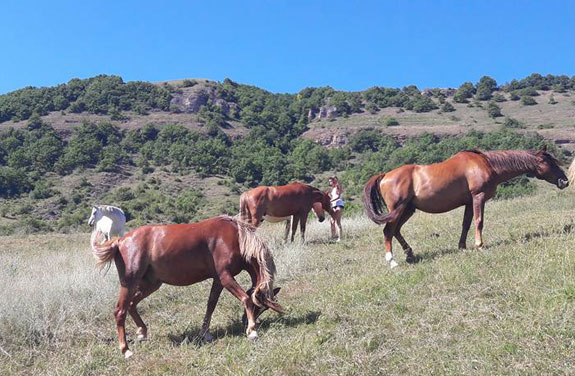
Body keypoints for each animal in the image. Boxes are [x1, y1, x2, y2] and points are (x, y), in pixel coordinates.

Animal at [89, 214, 284, 358]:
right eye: (260, 307)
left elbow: (211, 305)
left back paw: (142, 332)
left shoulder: (218, 280)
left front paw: (205, 333)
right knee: (120, 311)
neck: (234, 237)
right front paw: (252, 331)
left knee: (131, 304)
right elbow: (245, 298)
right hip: (130, 283)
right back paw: (126, 350)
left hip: (151, 284)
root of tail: (120, 241)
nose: (246, 322)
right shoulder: (225, 277)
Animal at [364, 146, 568, 268]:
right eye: (548, 162)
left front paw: (462, 246)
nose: (565, 181)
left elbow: (466, 224)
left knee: (396, 231)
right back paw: (392, 261)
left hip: (407, 210)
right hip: (398, 210)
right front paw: (479, 245)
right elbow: (479, 221)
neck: (487, 164)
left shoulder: (469, 203)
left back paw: (409, 253)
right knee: (388, 231)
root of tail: (384, 176)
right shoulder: (478, 197)